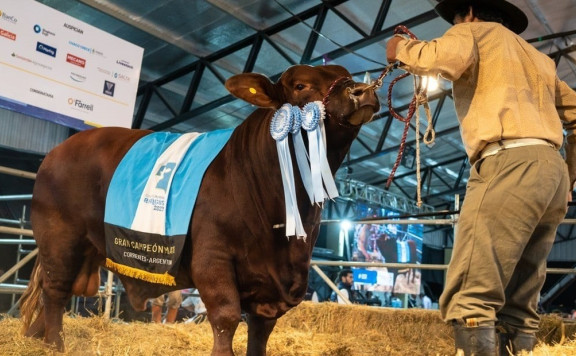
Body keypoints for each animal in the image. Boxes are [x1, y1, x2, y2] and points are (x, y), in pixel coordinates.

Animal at [19, 64, 378, 356]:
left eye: (345, 73)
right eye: (302, 85)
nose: (362, 91)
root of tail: (60, 150)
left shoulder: (276, 282)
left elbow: (260, 333)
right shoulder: (212, 257)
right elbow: (226, 317)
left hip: (89, 248)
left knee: (60, 292)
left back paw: (37, 339)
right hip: (60, 238)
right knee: (55, 291)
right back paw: (55, 345)